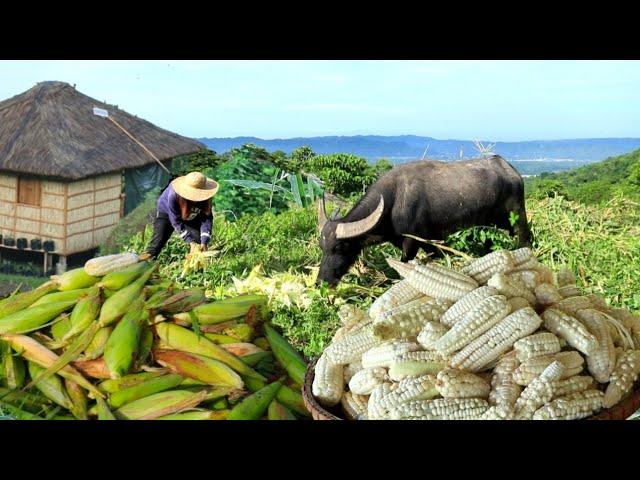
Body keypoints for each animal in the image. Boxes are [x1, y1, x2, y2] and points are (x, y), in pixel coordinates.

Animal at [316, 156, 528, 286]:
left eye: (339, 248)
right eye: (322, 247)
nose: (322, 281)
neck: (393, 202)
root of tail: (511, 170)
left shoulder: (412, 241)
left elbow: (405, 263)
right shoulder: (426, 240)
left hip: (517, 216)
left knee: (524, 236)